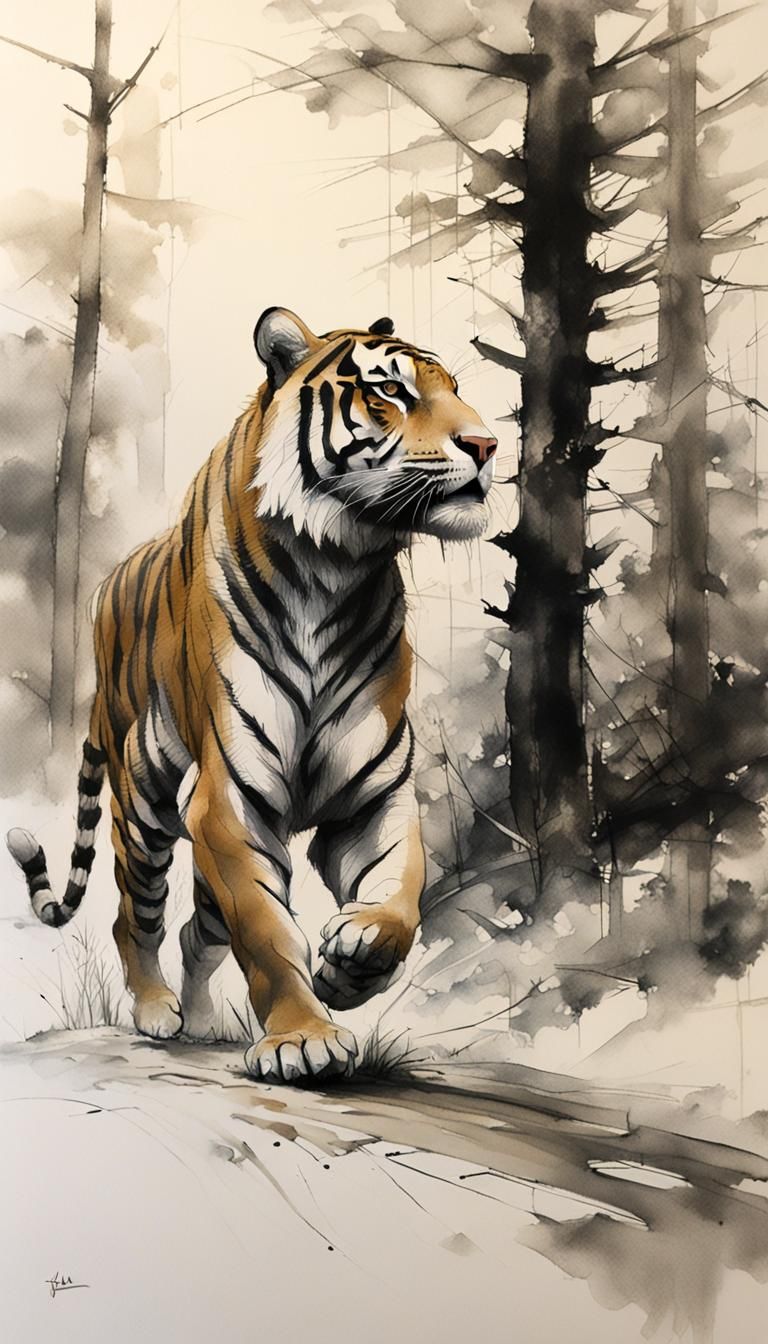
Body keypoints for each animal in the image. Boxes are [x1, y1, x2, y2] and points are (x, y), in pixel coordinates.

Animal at [7, 308, 497, 1084]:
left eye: (455, 388)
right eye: (390, 390)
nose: (486, 444)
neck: (339, 568)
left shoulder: (374, 795)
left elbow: (401, 890)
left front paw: (352, 962)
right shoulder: (228, 804)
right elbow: (266, 930)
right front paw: (303, 1037)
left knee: (194, 931)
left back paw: (205, 1022)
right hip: (144, 807)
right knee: (134, 916)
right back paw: (157, 1012)